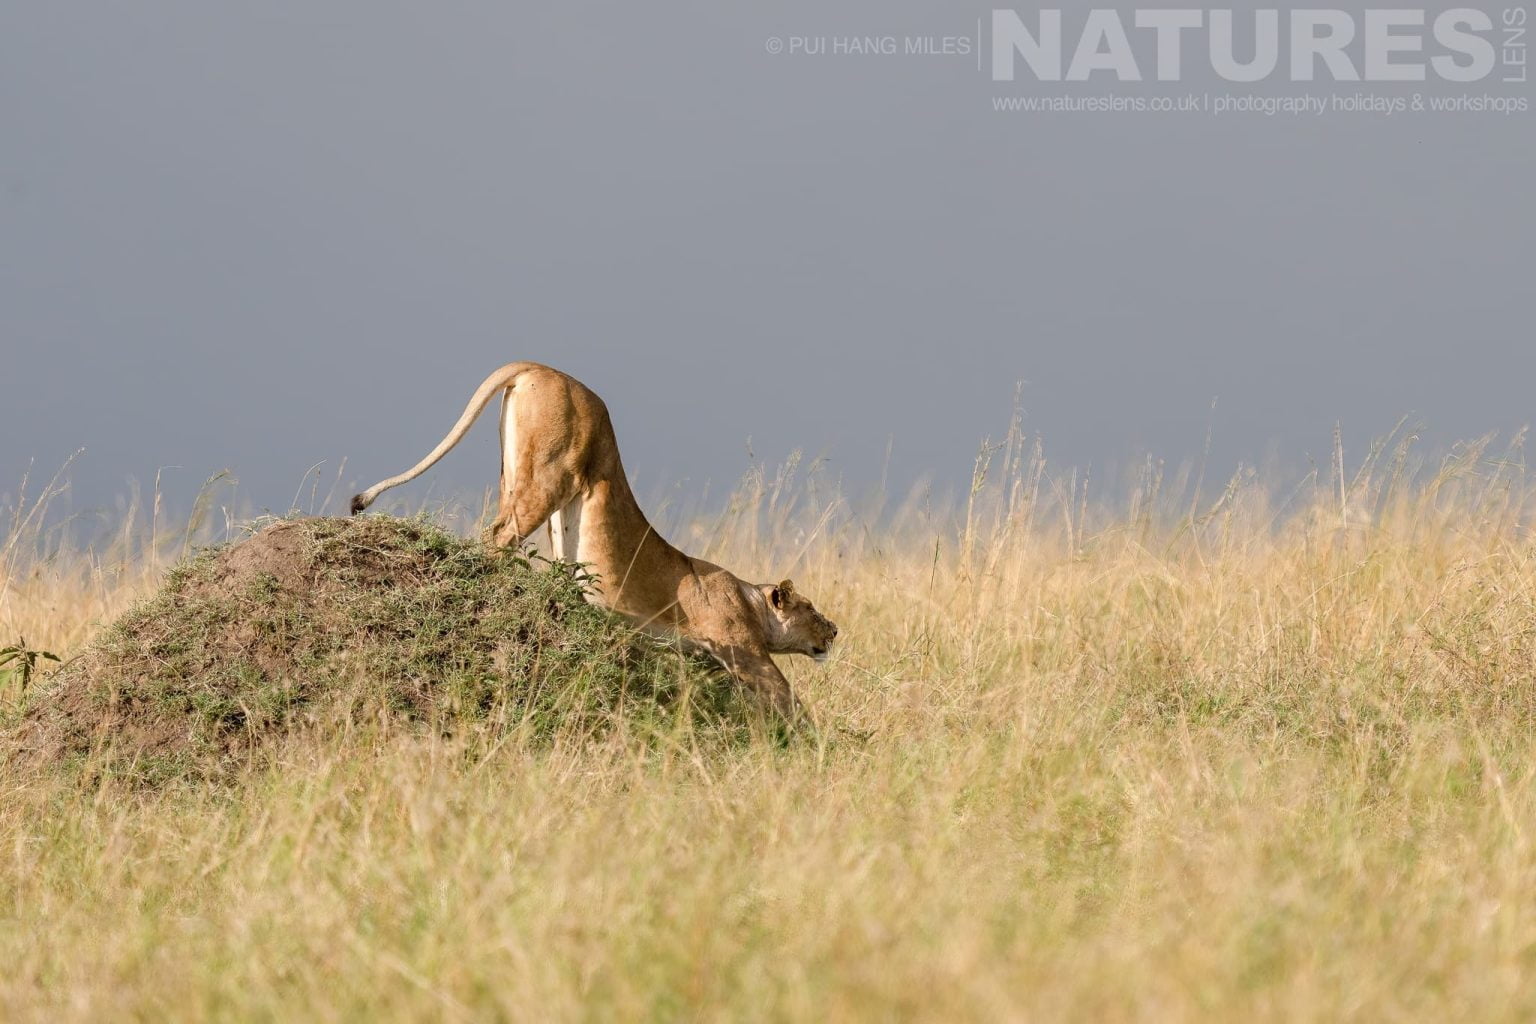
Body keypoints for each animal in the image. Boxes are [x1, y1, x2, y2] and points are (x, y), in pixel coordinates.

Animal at [350, 362, 838, 720]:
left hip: (531, 480)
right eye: (811, 608)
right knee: (499, 535)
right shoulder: (743, 650)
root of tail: (538, 366)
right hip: (553, 472)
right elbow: (787, 696)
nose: (835, 630)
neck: (749, 597)